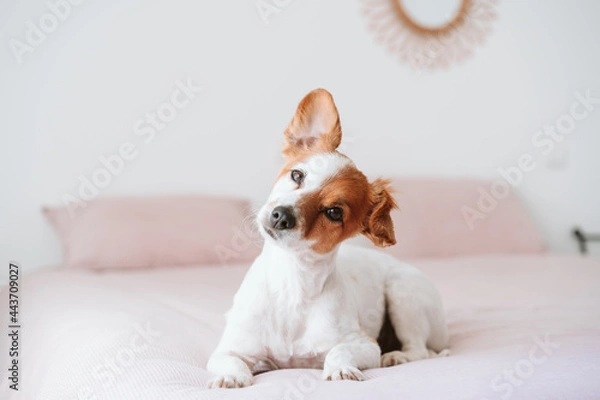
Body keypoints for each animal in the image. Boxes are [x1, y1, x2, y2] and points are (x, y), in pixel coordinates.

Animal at [206, 88, 446, 388]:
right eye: (297, 175)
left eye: (334, 212)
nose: (281, 216)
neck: (292, 283)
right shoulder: (228, 349)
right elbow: (231, 361)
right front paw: (231, 376)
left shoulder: (365, 344)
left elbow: (338, 351)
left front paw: (341, 369)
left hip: (403, 293)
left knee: (421, 350)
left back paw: (397, 356)